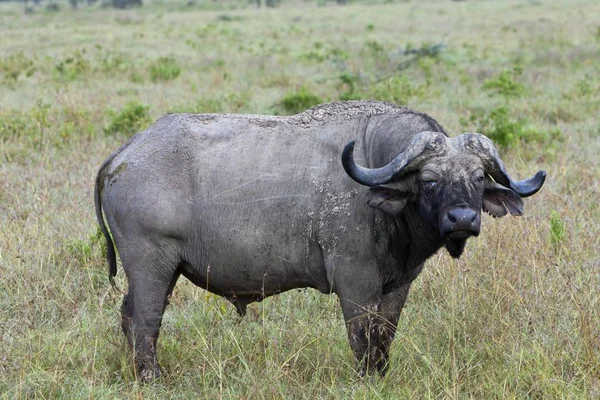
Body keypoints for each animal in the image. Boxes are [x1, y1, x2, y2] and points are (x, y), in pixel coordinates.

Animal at [92, 101, 544, 382]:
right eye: (430, 180)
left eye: (478, 178)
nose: (463, 219)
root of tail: (125, 153)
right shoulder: (355, 282)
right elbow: (361, 336)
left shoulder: (399, 284)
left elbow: (385, 334)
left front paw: (381, 375)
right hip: (152, 266)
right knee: (146, 321)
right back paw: (152, 377)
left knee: (129, 316)